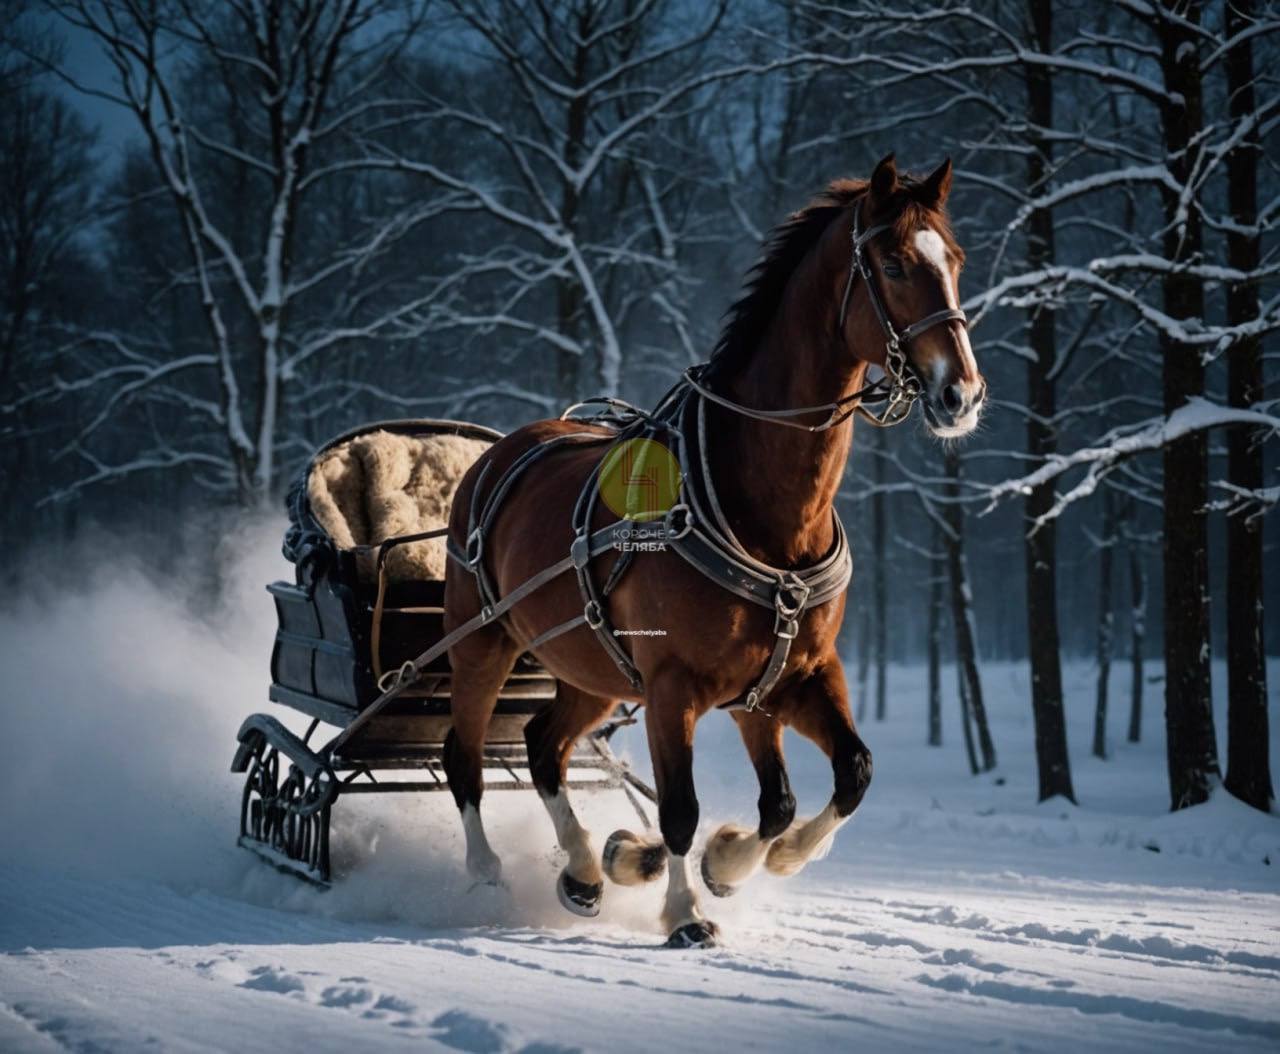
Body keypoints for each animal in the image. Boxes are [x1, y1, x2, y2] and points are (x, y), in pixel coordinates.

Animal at [437, 154, 977, 947]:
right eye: (895, 263)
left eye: (956, 261)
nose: (961, 393)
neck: (763, 512)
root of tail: (503, 452)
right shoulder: (674, 688)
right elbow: (680, 807)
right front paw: (686, 907)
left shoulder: (787, 679)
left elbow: (832, 780)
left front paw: (731, 860)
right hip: (483, 643)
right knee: (466, 753)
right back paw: (483, 869)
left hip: (594, 673)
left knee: (542, 743)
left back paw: (585, 871)